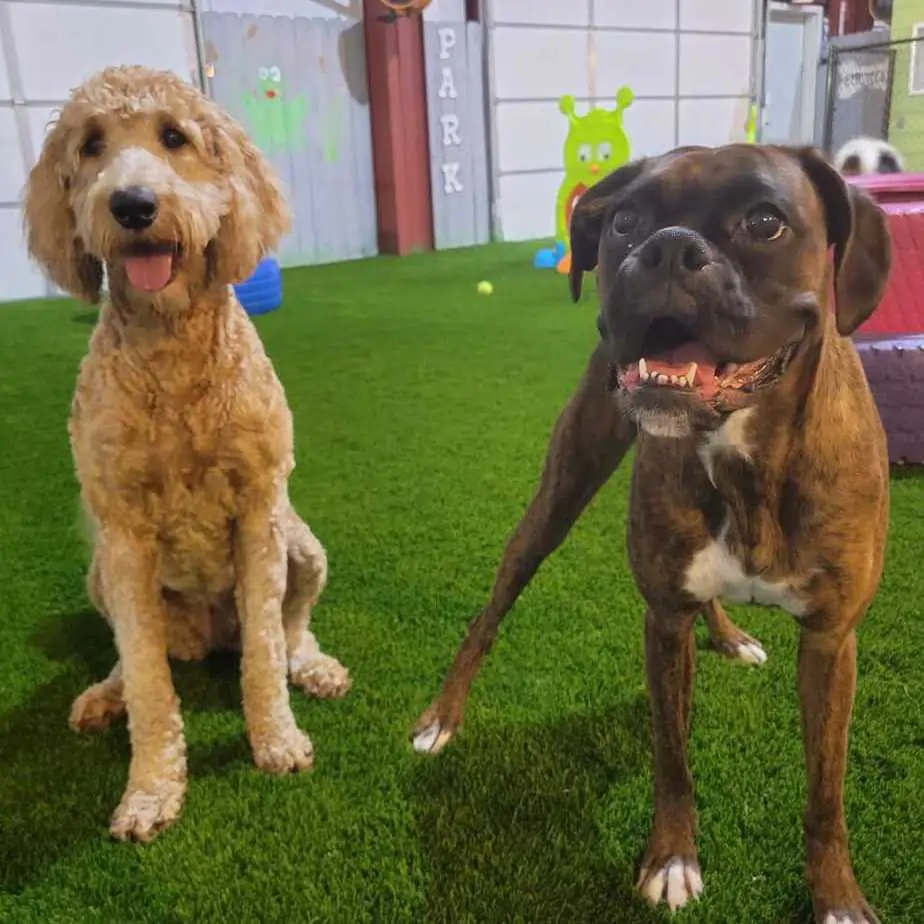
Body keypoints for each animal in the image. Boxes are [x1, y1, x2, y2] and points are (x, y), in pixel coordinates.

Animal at [410, 141, 888, 920]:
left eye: (765, 221)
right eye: (625, 221)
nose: (667, 249)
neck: (744, 452)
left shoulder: (830, 640)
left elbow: (826, 791)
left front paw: (837, 894)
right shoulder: (662, 621)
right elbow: (672, 758)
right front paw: (671, 859)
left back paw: (729, 635)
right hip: (556, 500)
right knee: (489, 614)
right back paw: (442, 717)